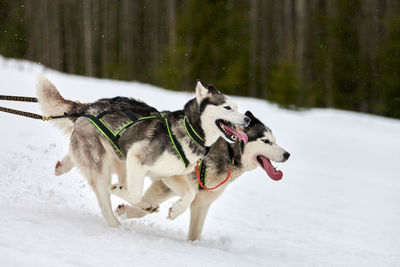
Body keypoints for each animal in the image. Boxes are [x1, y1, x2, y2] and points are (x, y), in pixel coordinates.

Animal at [37, 76, 250, 227]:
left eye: (237, 107)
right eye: (227, 107)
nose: (247, 120)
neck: (190, 131)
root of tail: (88, 108)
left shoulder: (169, 175)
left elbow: (189, 194)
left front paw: (176, 210)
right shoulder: (137, 157)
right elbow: (134, 193)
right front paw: (120, 193)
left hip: (119, 161)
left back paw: (62, 167)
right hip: (106, 168)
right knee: (106, 199)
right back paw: (116, 225)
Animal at [117, 111, 290, 241]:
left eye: (274, 141)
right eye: (266, 141)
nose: (287, 154)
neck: (229, 152)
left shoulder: (202, 203)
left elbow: (195, 233)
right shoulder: (166, 183)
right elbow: (143, 206)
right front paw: (125, 212)